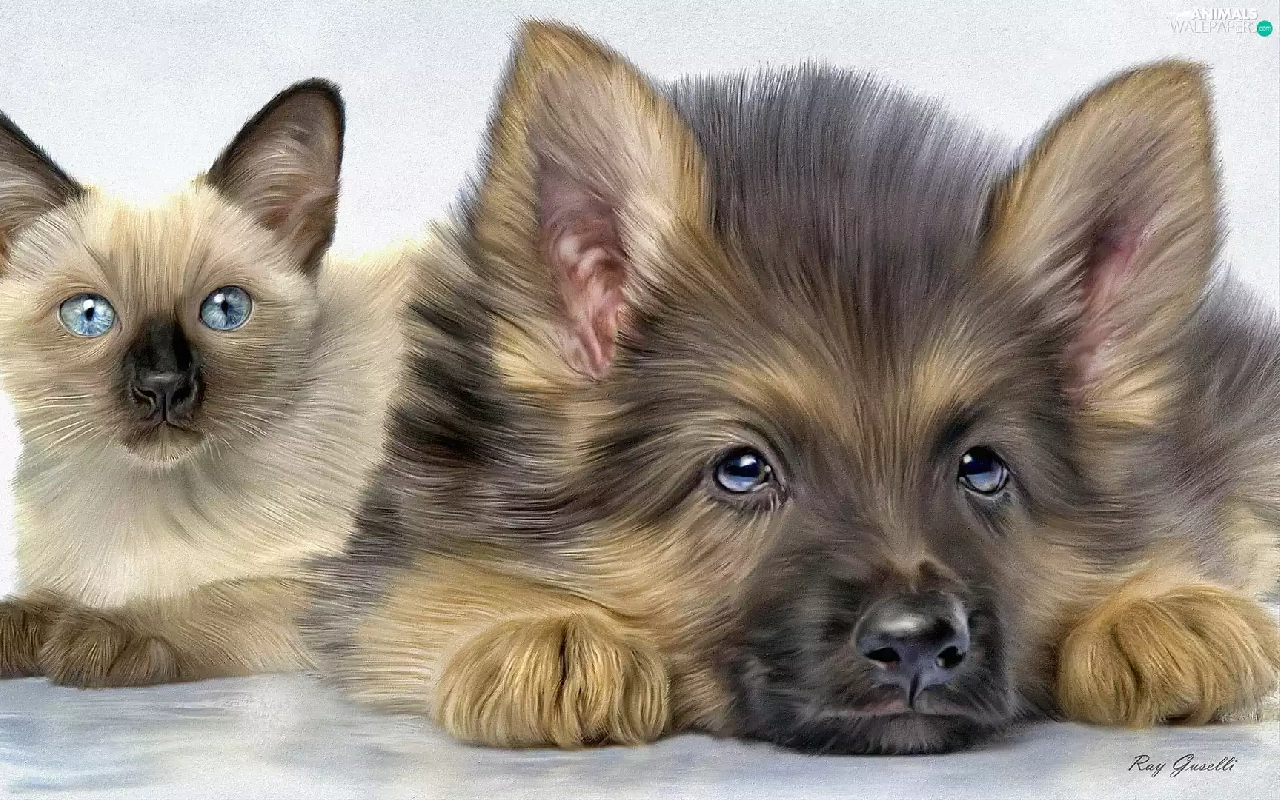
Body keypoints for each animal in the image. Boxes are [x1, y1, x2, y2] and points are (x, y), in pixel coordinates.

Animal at [0, 80, 404, 687]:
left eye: (225, 310)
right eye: (89, 316)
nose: (163, 384)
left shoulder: (341, 582)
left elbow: (217, 598)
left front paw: (97, 634)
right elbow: (44, 600)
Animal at [305, 22, 1280, 754]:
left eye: (983, 468)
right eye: (742, 469)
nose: (920, 644)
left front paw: (1161, 606)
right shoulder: (392, 539)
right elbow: (422, 583)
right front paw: (543, 628)